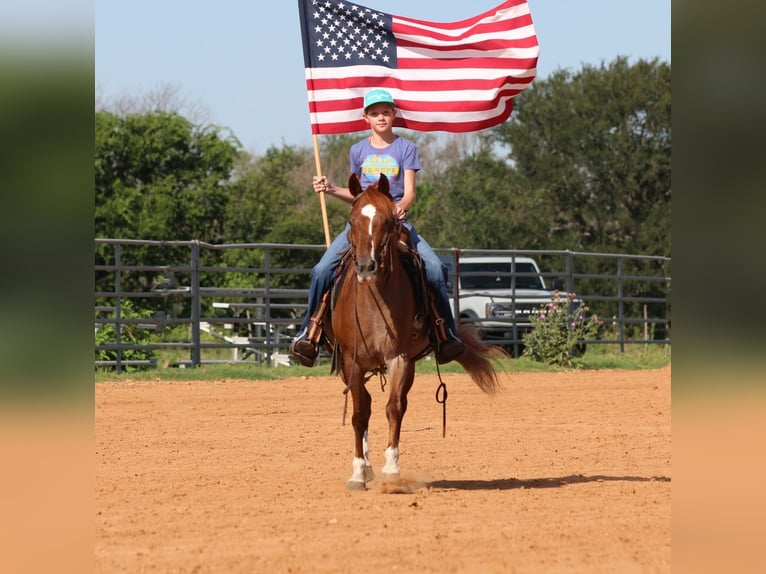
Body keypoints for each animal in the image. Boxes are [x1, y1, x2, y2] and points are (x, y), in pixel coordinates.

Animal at [322, 174, 504, 490]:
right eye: (352, 220)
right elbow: (358, 414)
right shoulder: (351, 360)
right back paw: (366, 465)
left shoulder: (401, 358)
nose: (366, 266)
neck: (373, 301)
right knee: (364, 404)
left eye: (388, 220)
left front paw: (392, 470)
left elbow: (394, 408)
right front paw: (358, 472)